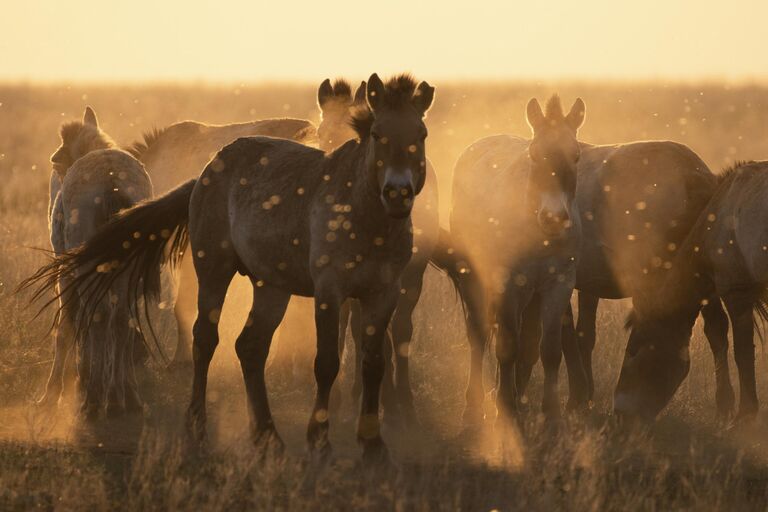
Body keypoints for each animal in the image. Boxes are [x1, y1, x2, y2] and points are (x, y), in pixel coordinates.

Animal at [22, 107, 153, 416]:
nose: (54, 160)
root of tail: (112, 183)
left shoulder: (66, 274)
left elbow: (66, 325)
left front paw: (53, 393)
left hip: (85, 266)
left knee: (98, 316)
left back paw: (95, 398)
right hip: (128, 269)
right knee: (122, 317)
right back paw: (123, 396)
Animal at [316, 76, 440, 422]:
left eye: (421, 134)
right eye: (320, 132)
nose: (397, 193)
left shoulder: (406, 277)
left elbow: (397, 331)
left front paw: (400, 402)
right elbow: (358, 330)